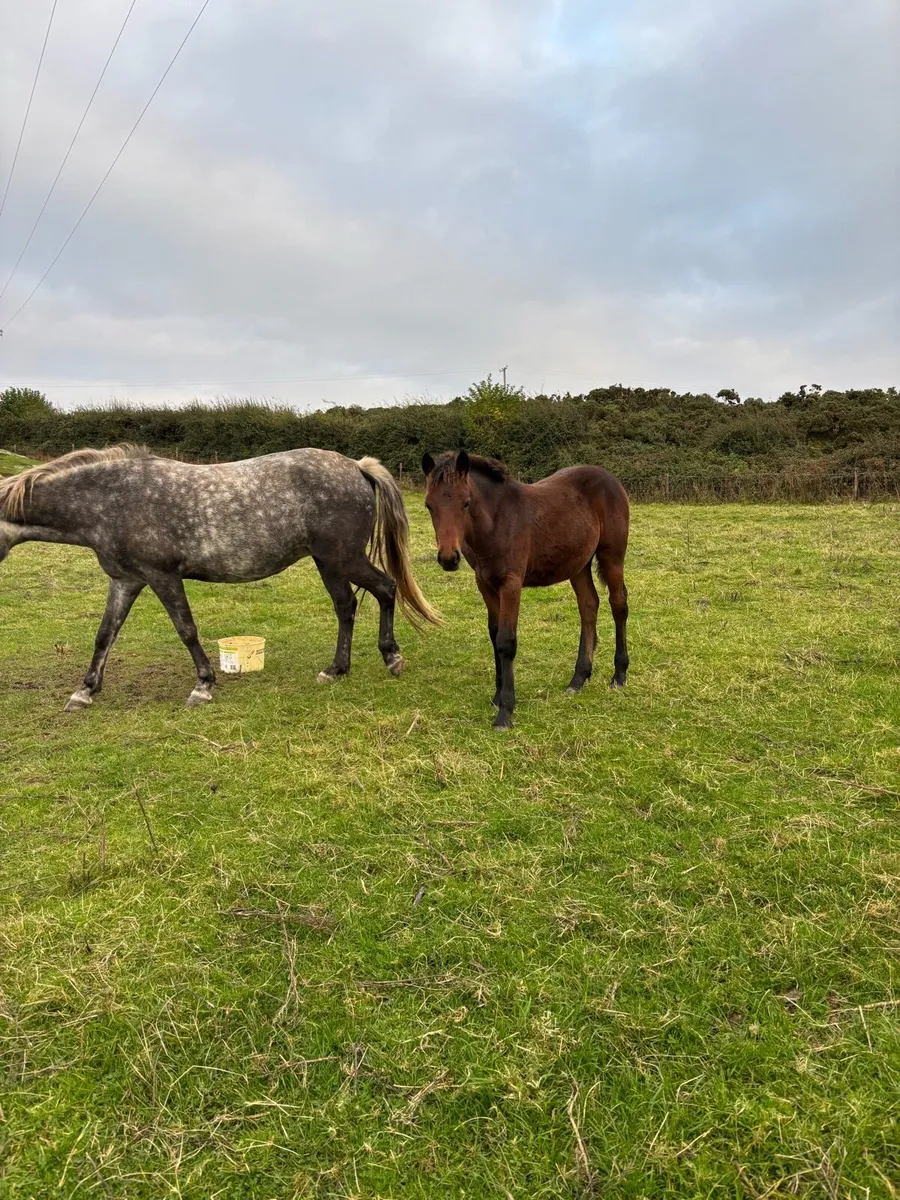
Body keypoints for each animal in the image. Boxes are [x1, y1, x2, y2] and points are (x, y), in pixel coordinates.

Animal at [0, 445, 440, 711]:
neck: (112, 500)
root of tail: (357, 467)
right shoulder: (125, 581)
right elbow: (105, 634)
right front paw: (85, 691)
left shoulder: (162, 577)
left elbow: (187, 630)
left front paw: (203, 685)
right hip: (328, 563)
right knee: (346, 606)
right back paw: (336, 669)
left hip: (342, 558)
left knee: (385, 589)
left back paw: (392, 658)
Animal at [421, 450, 629, 729]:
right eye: (428, 505)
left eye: (465, 503)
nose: (448, 558)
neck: (496, 521)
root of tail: (611, 478)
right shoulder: (485, 583)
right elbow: (494, 634)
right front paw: (497, 697)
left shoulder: (511, 584)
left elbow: (506, 641)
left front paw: (505, 712)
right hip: (579, 564)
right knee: (589, 606)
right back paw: (578, 679)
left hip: (612, 556)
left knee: (618, 605)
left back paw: (619, 674)